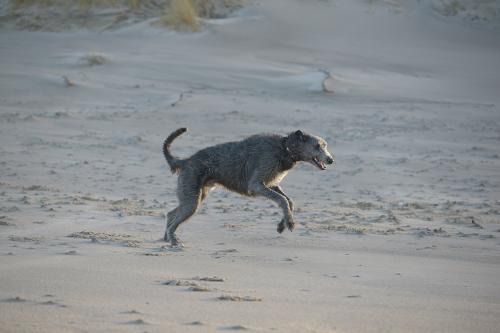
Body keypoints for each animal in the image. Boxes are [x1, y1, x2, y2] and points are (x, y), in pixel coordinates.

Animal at [164, 128, 334, 245]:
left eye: (325, 145)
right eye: (317, 146)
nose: (331, 160)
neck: (284, 148)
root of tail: (185, 161)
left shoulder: (272, 184)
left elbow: (289, 201)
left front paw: (282, 224)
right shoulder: (257, 184)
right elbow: (282, 200)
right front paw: (289, 222)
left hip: (196, 195)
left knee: (171, 213)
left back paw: (166, 238)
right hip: (192, 197)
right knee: (175, 217)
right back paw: (173, 240)